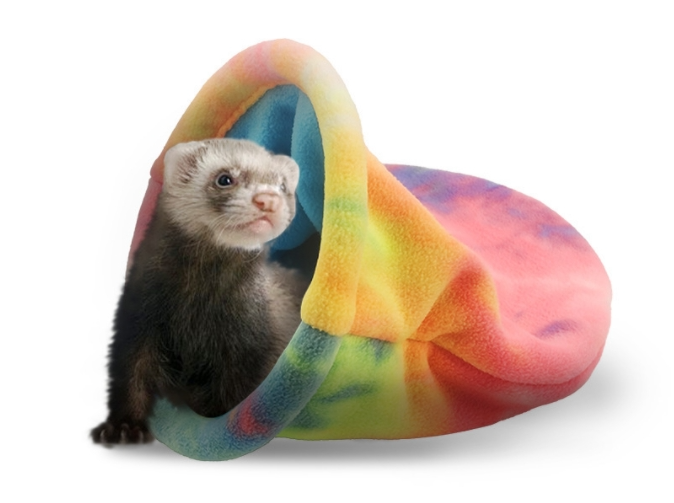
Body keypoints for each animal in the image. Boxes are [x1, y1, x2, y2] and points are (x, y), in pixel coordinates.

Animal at [91, 138, 303, 444]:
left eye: (284, 185)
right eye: (224, 178)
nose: (269, 199)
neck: (197, 313)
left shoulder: (253, 345)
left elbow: (233, 396)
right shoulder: (137, 318)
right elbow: (130, 376)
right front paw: (122, 427)